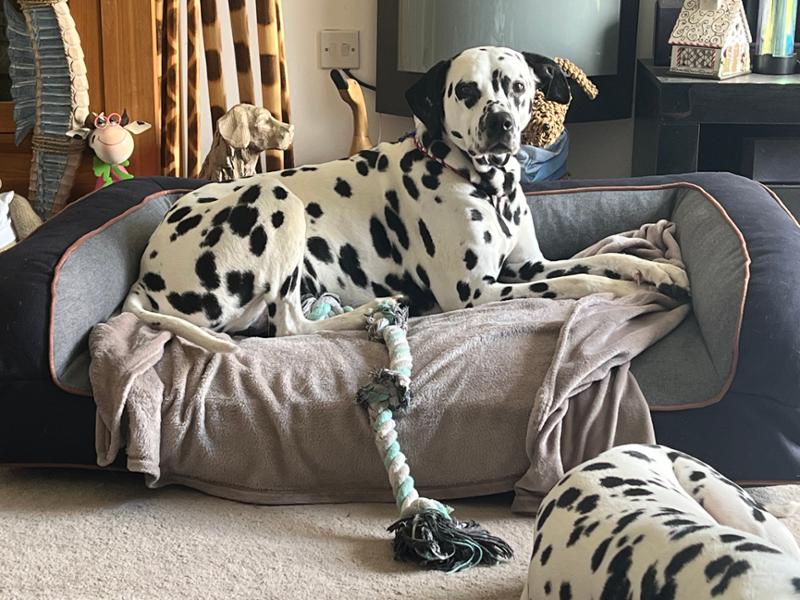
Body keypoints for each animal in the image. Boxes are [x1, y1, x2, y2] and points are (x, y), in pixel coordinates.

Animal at [123, 47, 688, 352]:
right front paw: (613, 291)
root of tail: (146, 280)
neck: (487, 186)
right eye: (467, 91)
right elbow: (578, 282)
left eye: (517, 86)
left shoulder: (530, 266)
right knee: (290, 327)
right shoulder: (477, 294)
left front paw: (657, 271)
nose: (501, 124)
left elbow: (606, 257)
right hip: (275, 194)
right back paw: (372, 311)